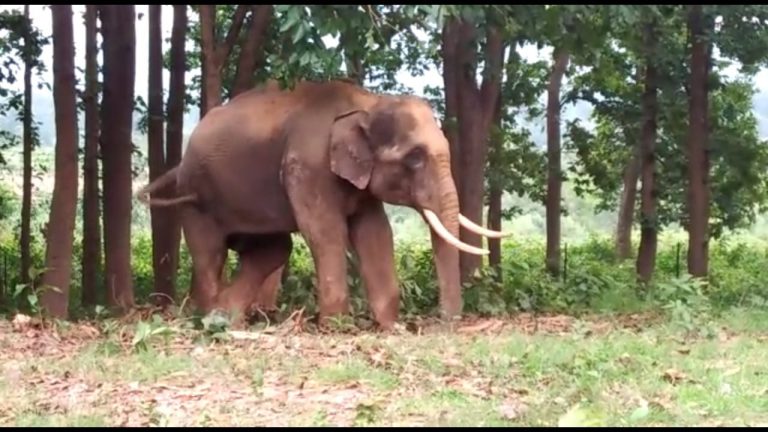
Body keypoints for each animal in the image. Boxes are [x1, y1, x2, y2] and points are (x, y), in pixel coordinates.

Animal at [138, 79, 511, 330]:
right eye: (415, 158)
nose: (443, 323)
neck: (367, 103)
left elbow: (376, 234)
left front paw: (389, 326)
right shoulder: (307, 166)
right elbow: (325, 232)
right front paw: (337, 327)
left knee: (272, 249)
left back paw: (228, 317)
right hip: (197, 197)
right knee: (212, 253)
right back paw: (209, 318)